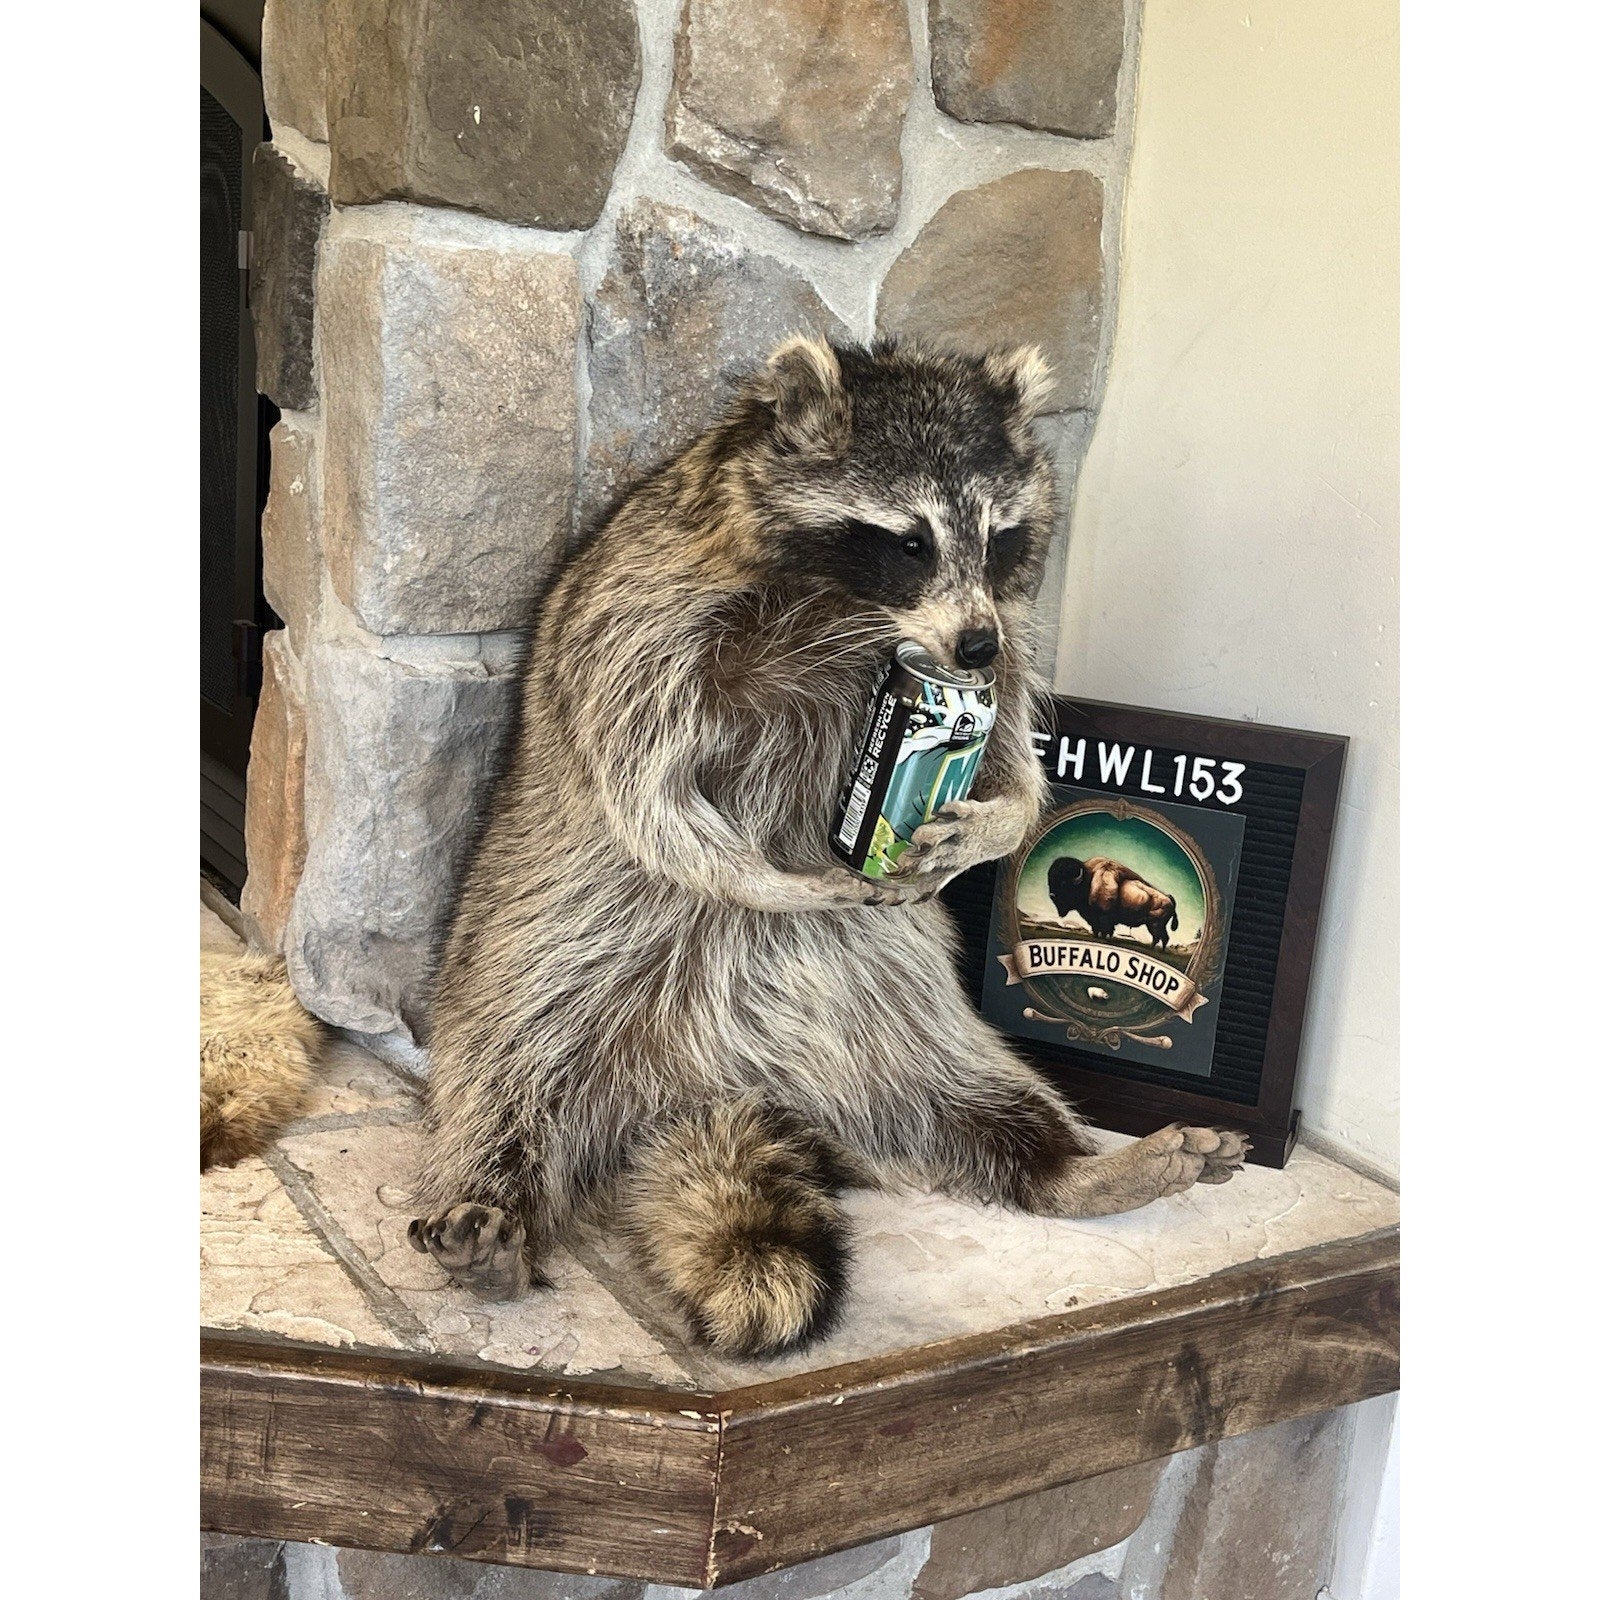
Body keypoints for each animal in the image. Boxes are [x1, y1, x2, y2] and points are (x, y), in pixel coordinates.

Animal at [412, 338, 1247, 1356]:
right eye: (911, 540)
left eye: (999, 536)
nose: (970, 647)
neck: (854, 609)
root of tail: (709, 1091)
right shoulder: (640, 612)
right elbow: (645, 783)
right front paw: (762, 877)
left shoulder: (1003, 645)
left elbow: (1012, 759)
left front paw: (993, 821)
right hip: (543, 943)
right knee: (506, 1069)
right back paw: (493, 1206)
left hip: (890, 1006)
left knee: (963, 1086)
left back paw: (1069, 1168)